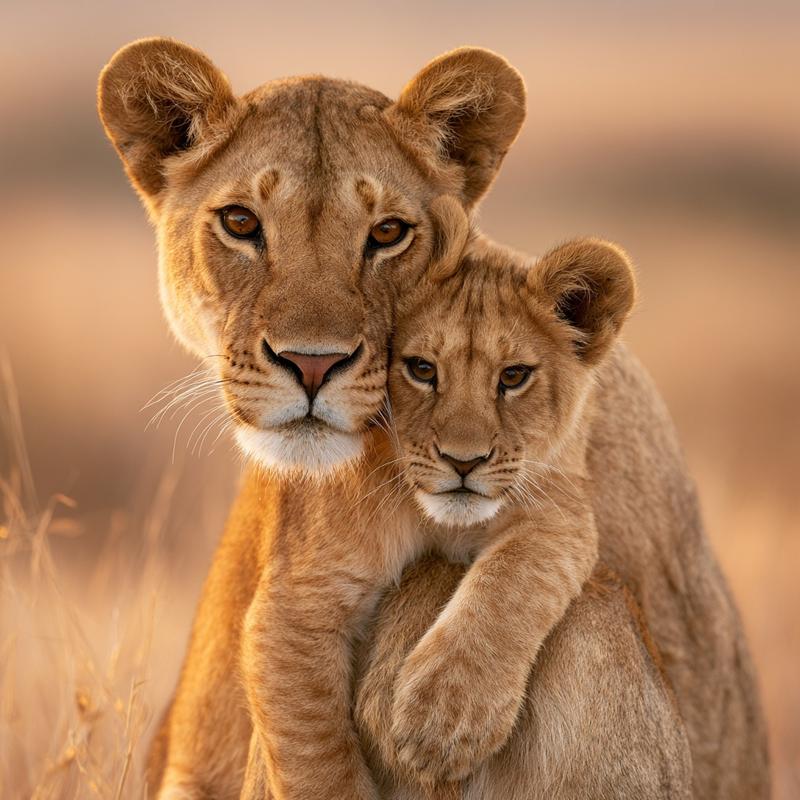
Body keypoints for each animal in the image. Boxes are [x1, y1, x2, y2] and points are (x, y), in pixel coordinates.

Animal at [97, 38, 769, 798]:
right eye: (240, 223)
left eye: (388, 233)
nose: (311, 364)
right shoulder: (296, 599)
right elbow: (309, 732)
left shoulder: (559, 514)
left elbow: (527, 566)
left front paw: (446, 711)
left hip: (599, 624)